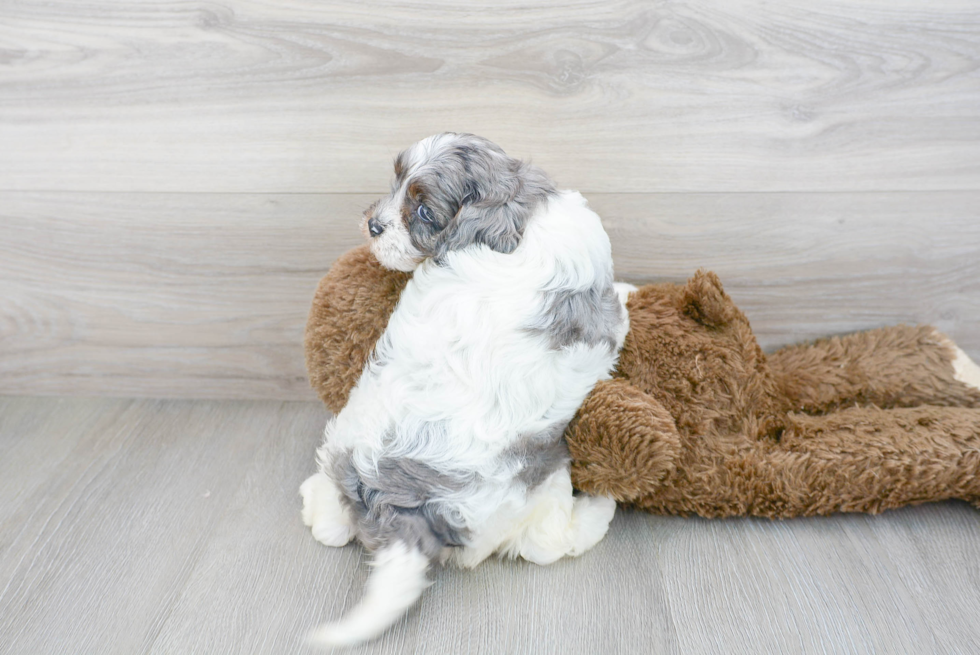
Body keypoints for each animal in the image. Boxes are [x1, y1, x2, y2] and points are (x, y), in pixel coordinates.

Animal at [302, 132, 632, 644]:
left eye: (422, 210)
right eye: (397, 182)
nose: (373, 225)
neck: (518, 216)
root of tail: (396, 508)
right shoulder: (605, 315)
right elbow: (621, 307)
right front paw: (634, 290)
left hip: (342, 445)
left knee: (331, 522)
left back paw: (314, 503)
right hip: (541, 483)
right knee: (548, 543)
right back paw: (600, 507)